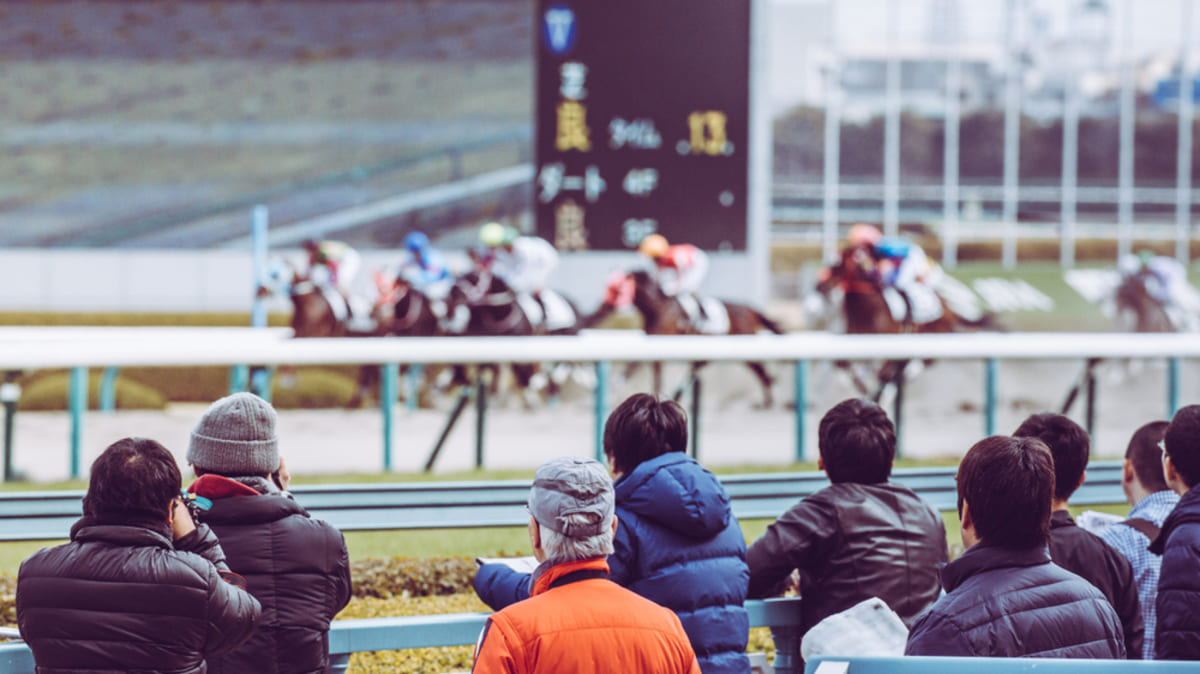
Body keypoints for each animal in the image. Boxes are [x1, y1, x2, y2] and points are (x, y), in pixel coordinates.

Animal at [583, 266, 787, 402]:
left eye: (616, 289)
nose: (601, 307)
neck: (657, 308)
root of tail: (750, 309)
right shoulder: (653, 346)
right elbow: (654, 376)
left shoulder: (658, 342)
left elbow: (633, 367)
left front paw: (612, 387)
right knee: (697, 368)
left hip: (743, 344)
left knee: (760, 370)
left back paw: (769, 399)